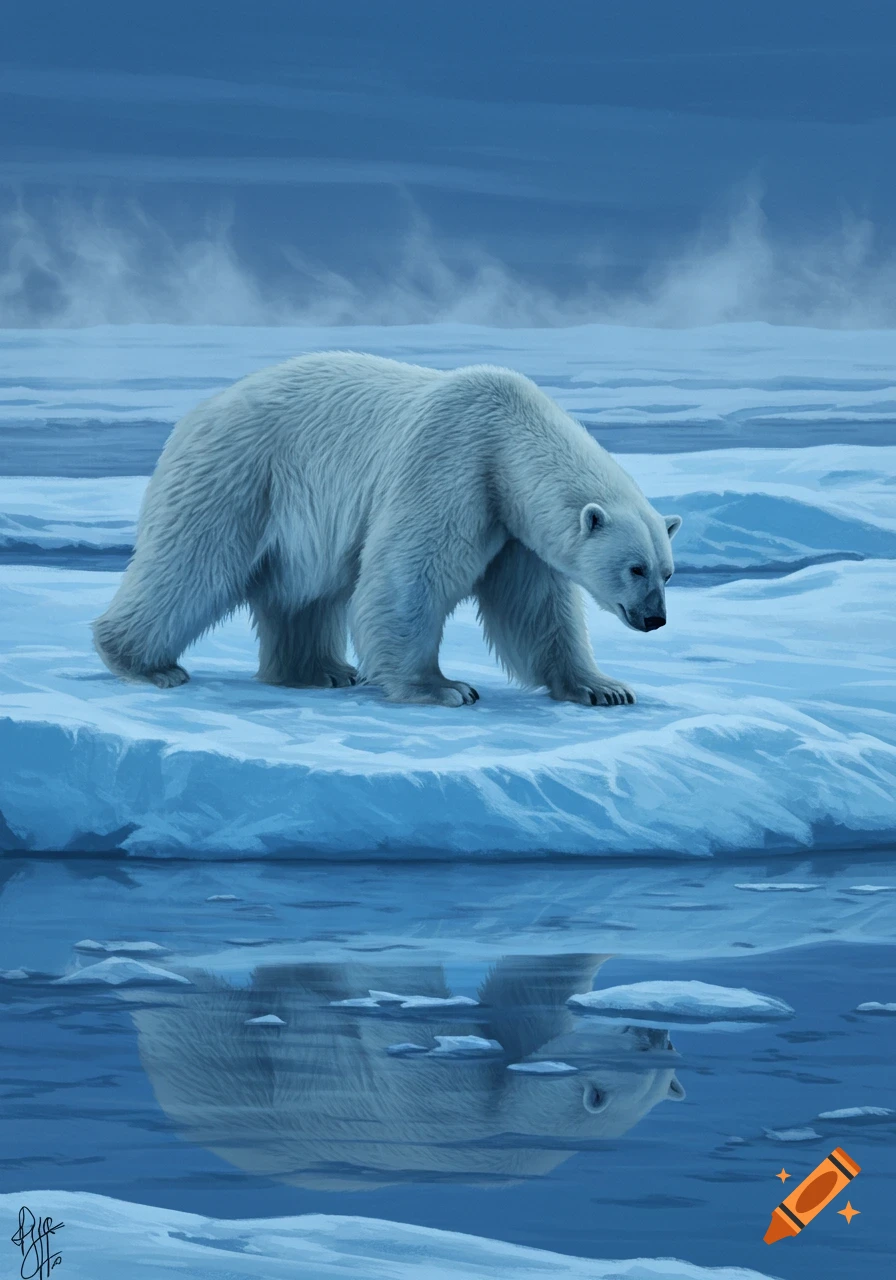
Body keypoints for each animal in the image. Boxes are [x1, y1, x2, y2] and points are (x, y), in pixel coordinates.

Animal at [92, 352, 681, 707]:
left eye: (668, 572)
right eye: (635, 568)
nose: (655, 619)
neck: (509, 434)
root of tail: (194, 414)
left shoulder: (513, 527)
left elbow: (536, 608)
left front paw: (603, 688)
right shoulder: (453, 463)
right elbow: (409, 576)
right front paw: (444, 687)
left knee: (304, 594)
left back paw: (321, 670)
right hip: (240, 477)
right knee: (193, 565)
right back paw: (146, 665)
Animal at [119, 953, 685, 1189]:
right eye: (646, 1040)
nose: (658, 1029)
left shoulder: (446, 1105)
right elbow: (525, 999)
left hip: (219, 1064)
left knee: (195, 1010)